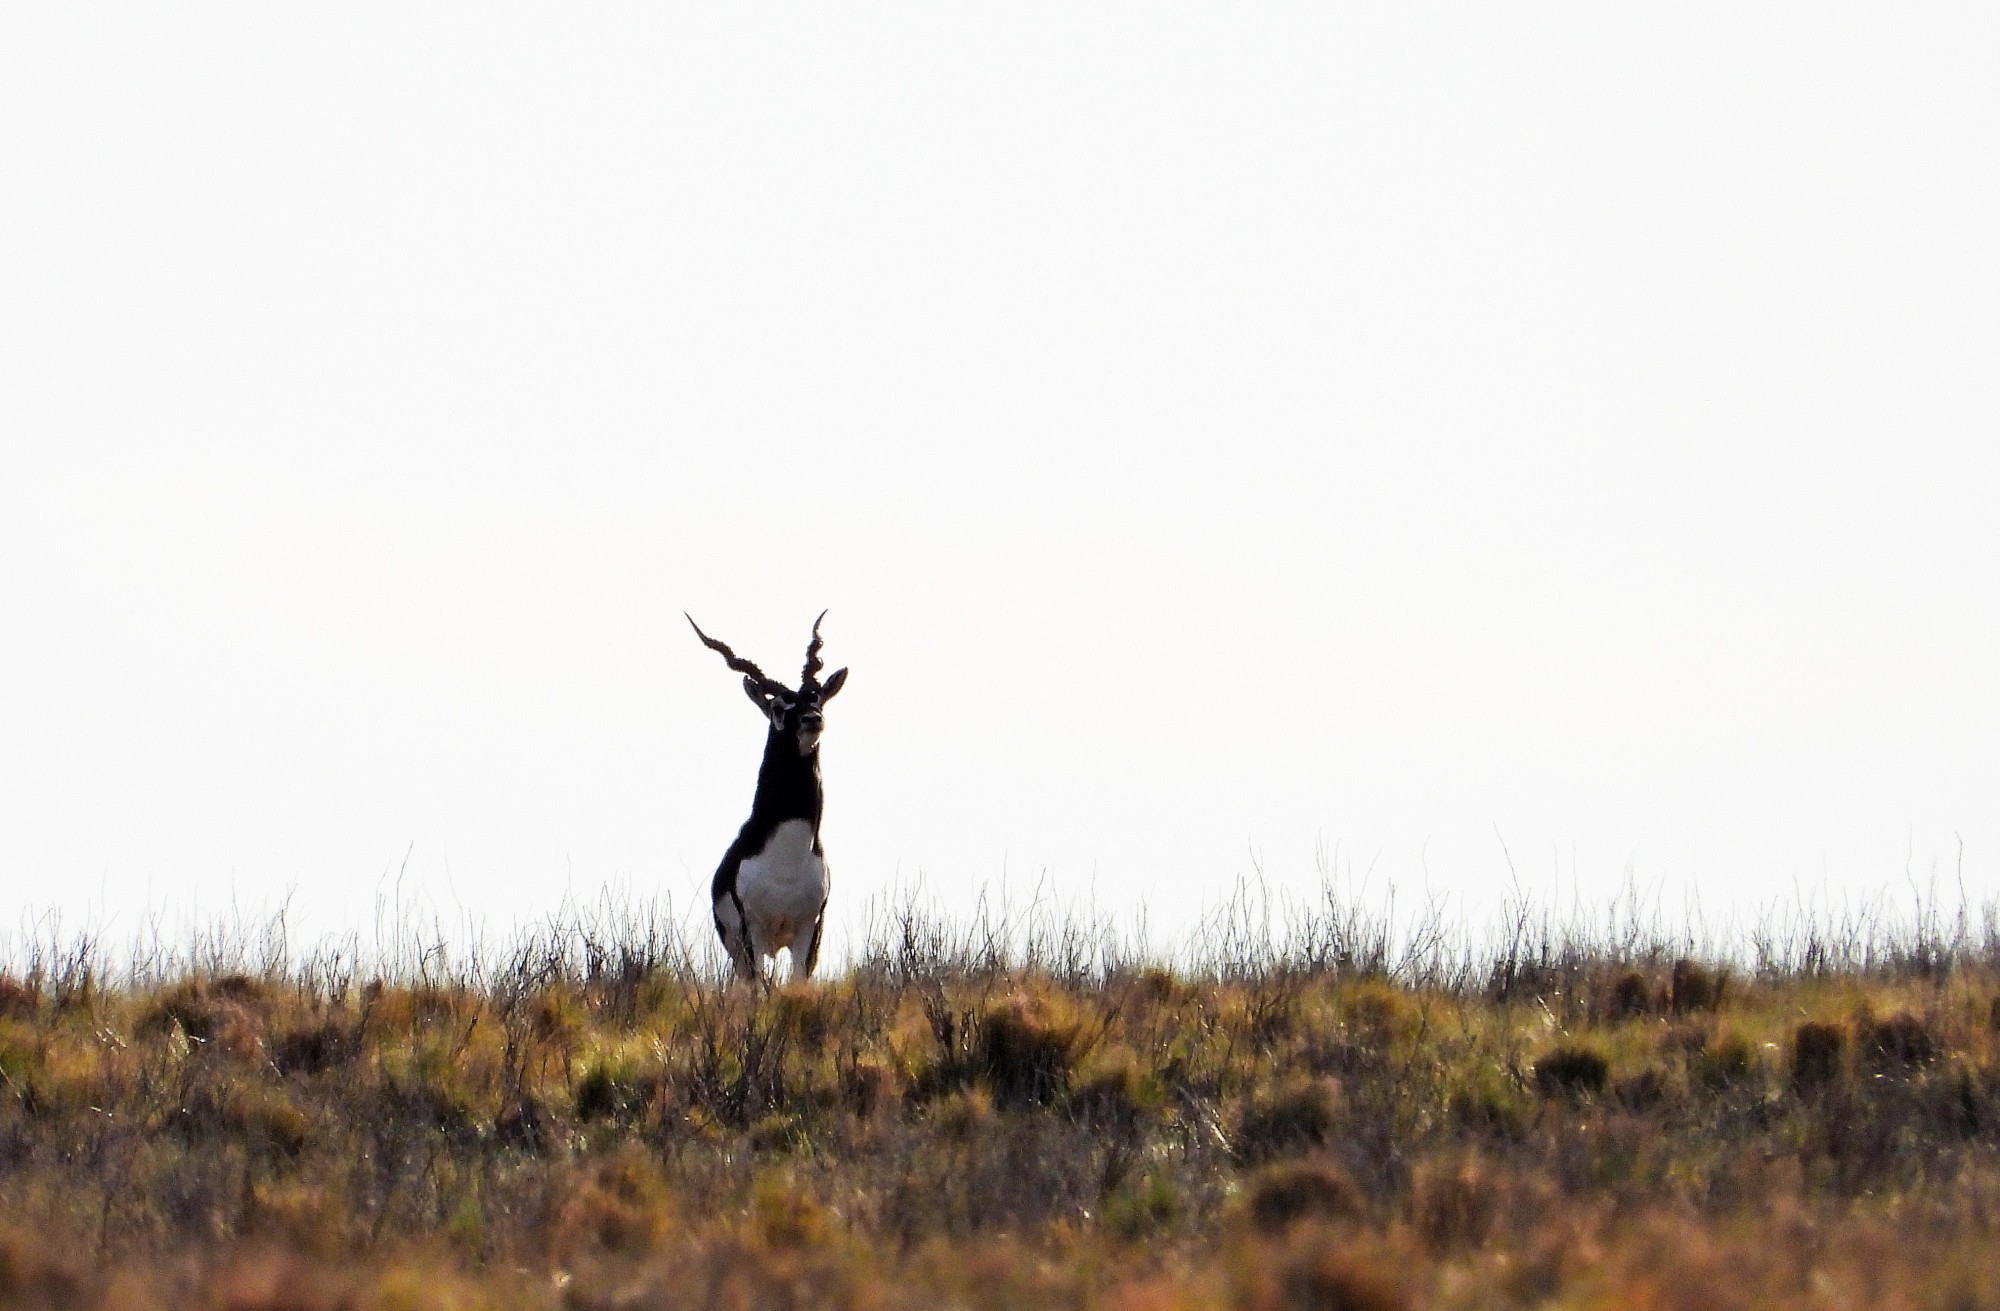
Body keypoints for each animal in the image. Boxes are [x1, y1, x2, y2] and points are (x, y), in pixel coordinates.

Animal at [687, 611, 847, 983]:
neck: (787, 855)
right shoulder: (753, 931)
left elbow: (798, 982)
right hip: (737, 948)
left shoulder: (810, 929)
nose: (812, 720)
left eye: (816, 697)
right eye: (777, 707)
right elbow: (761, 987)